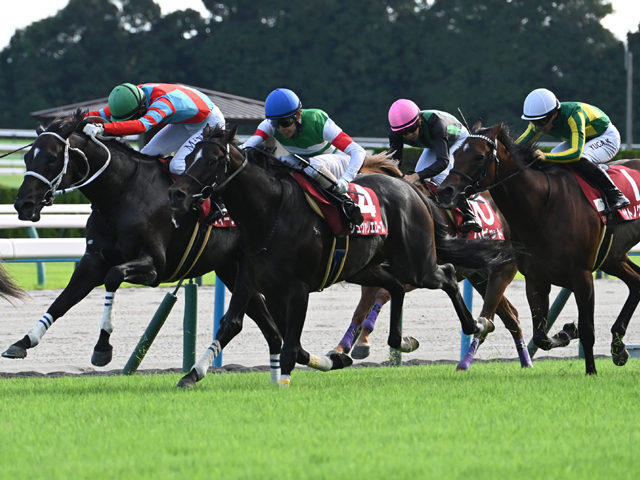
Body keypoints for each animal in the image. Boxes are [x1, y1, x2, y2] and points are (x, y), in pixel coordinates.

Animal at [0, 109, 290, 378]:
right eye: (27, 157)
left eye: (51, 158)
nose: (23, 204)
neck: (122, 192)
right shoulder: (94, 259)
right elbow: (63, 300)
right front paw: (23, 342)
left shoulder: (154, 266)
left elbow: (113, 276)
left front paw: (102, 348)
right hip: (232, 268)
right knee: (267, 327)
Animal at [168, 124, 508, 386]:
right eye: (190, 157)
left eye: (212, 160)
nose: (177, 194)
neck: (270, 213)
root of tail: (412, 190)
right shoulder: (252, 281)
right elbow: (235, 325)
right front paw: (192, 374)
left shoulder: (298, 289)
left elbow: (291, 346)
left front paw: (285, 382)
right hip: (364, 267)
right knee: (394, 287)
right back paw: (400, 341)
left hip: (416, 263)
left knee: (446, 274)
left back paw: (477, 325)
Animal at [330, 159, 528, 370]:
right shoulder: (371, 271)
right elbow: (360, 311)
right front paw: (342, 348)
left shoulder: (419, 271)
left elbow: (383, 294)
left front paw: (363, 342)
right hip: (479, 277)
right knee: (511, 317)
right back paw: (526, 362)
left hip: (502, 271)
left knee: (494, 315)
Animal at [440, 120, 640, 376]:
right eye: (455, 154)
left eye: (479, 156)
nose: (445, 191)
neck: (542, 206)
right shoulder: (535, 279)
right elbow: (541, 335)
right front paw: (566, 332)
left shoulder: (583, 276)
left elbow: (587, 329)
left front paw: (591, 371)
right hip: (612, 257)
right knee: (636, 281)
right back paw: (618, 347)